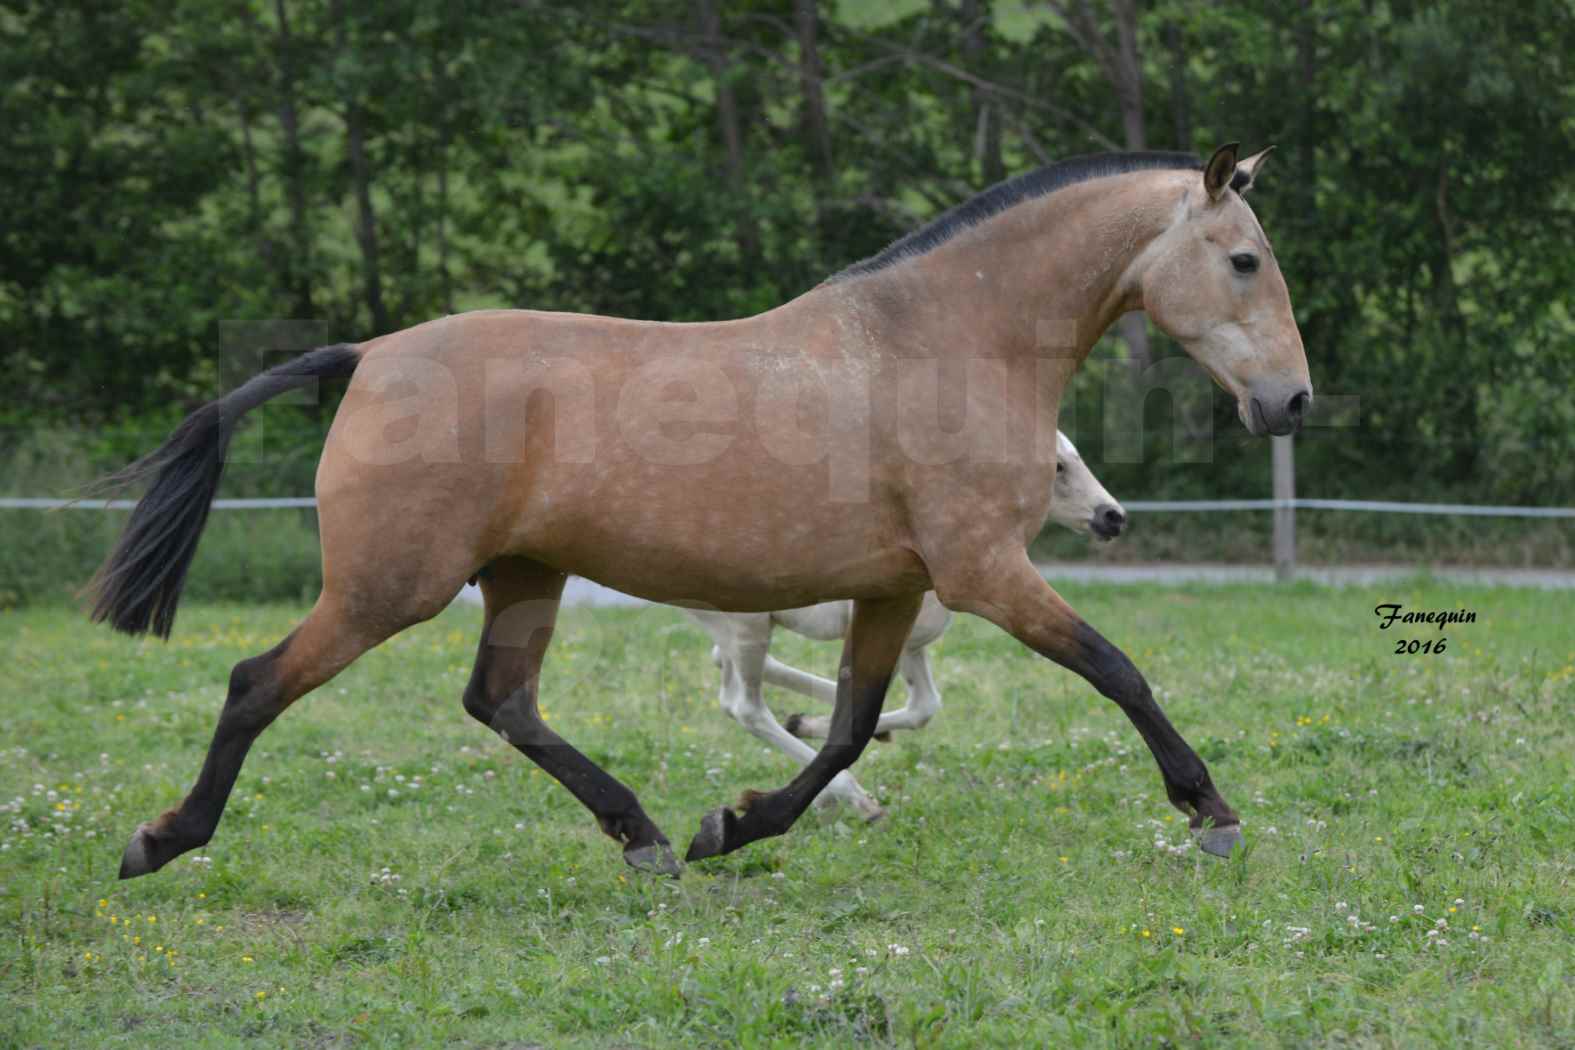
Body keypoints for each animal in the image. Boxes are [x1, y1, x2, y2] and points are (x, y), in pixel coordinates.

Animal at [686, 434, 1121, 818]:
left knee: (726, 676)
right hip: (749, 627)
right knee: (745, 707)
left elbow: (923, 706)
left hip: (742, 628)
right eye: (1057, 466)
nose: (1113, 516)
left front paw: (811, 722)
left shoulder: (912, 643)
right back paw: (852, 797)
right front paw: (816, 729)